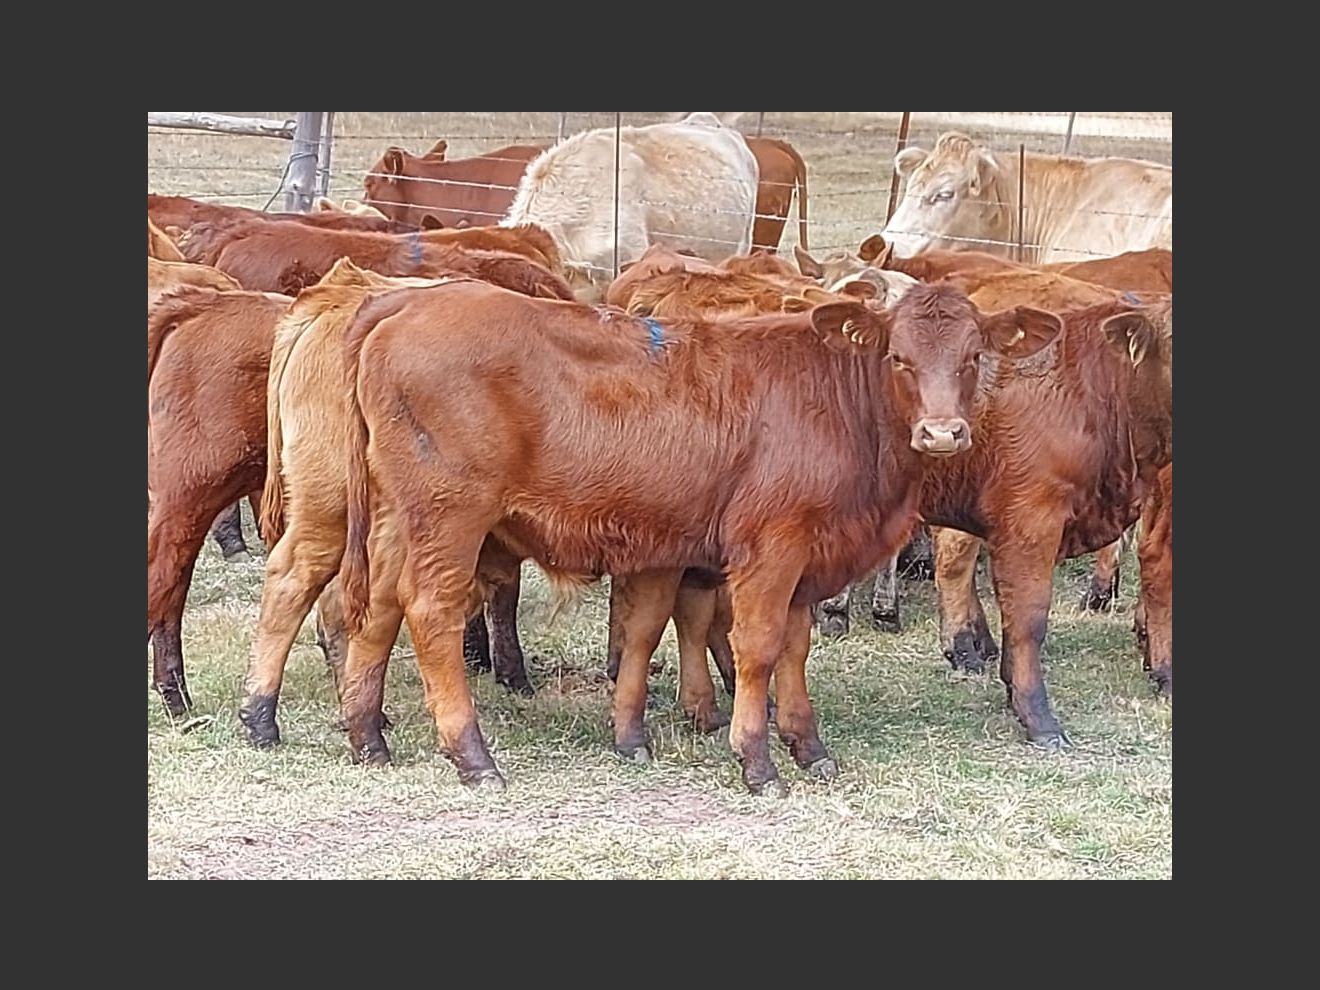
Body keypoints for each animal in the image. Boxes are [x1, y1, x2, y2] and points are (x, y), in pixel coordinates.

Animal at [237, 257, 575, 749]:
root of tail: (335, 293)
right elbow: (501, 593)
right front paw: (509, 673)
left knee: (336, 606)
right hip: (331, 508)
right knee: (294, 583)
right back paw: (263, 716)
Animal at [335, 279, 1059, 793]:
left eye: (973, 356)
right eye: (899, 358)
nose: (943, 432)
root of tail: (412, 299)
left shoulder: (809, 556)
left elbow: (793, 649)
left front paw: (808, 747)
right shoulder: (772, 546)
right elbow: (758, 648)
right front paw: (757, 761)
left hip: (401, 520)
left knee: (379, 609)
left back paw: (367, 737)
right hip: (450, 514)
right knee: (430, 612)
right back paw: (472, 755)